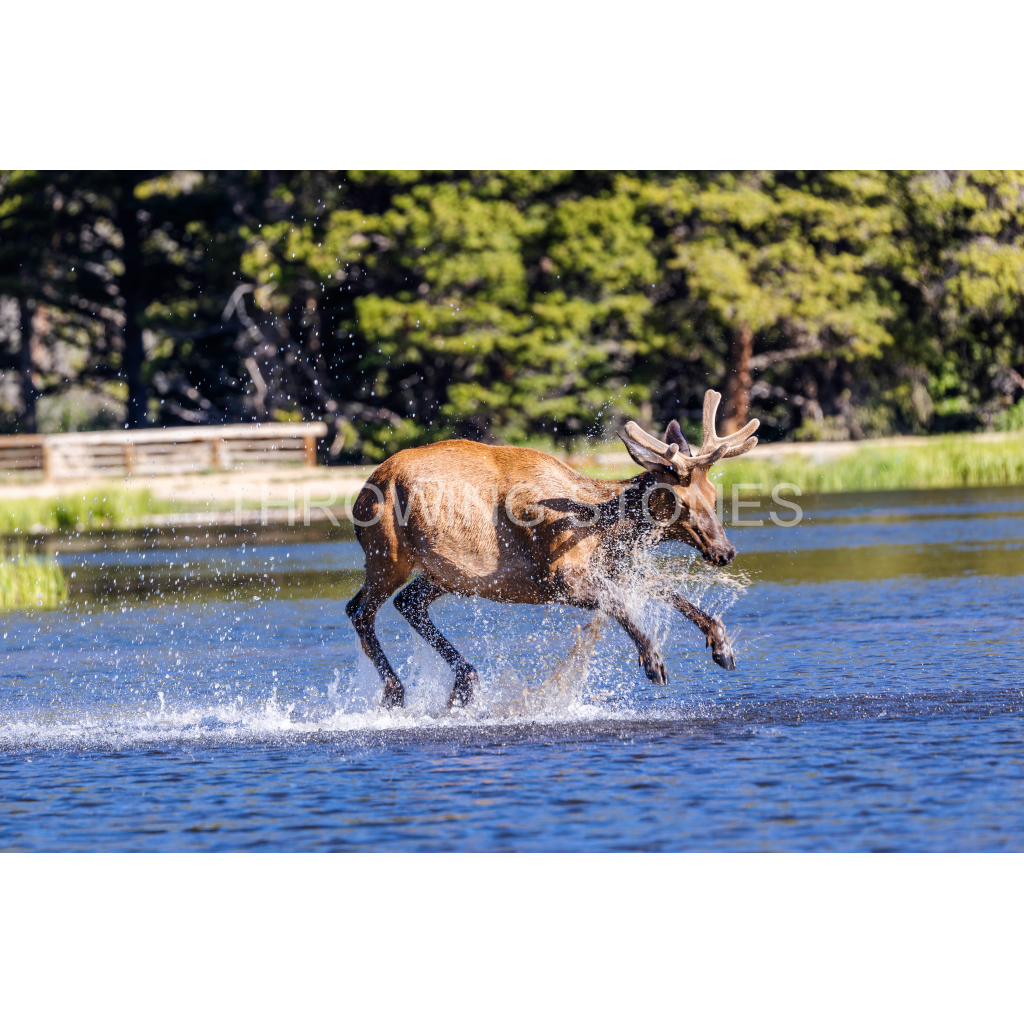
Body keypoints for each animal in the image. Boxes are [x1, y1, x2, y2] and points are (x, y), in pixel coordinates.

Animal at [345, 389, 759, 709]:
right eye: (679, 502)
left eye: (714, 495)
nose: (725, 551)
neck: (600, 527)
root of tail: (361, 493)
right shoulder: (556, 577)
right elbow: (615, 601)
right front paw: (652, 659)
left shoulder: (616, 563)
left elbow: (668, 591)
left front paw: (722, 646)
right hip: (387, 556)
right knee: (360, 610)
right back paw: (396, 692)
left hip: (447, 575)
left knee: (407, 603)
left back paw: (465, 682)